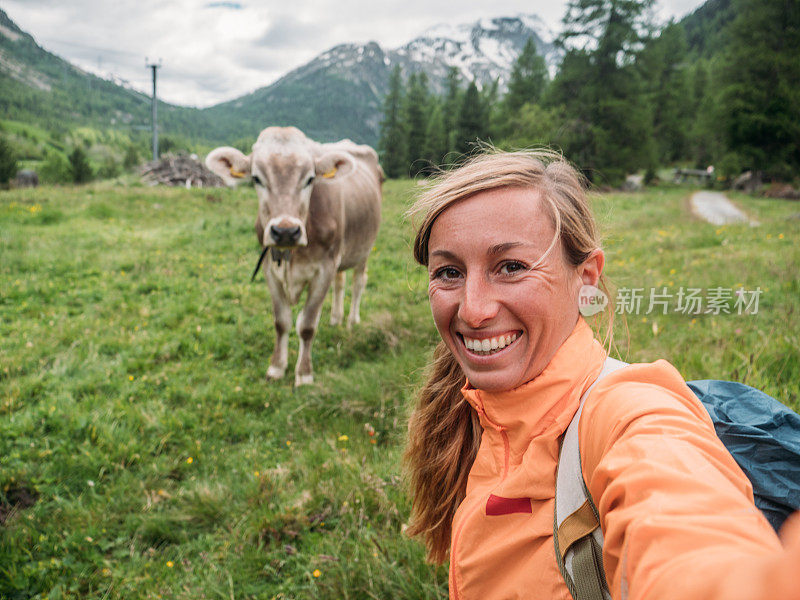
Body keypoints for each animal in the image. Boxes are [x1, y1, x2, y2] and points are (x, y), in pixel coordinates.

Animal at [205, 129, 382, 386]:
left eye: (310, 179)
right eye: (256, 178)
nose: (285, 231)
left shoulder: (324, 268)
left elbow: (307, 325)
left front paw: (304, 374)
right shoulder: (270, 268)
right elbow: (281, 322)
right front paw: (276, 367)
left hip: (365, 248)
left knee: (359, 282)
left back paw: (351, 321)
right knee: (340, 283)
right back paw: (335, 319)